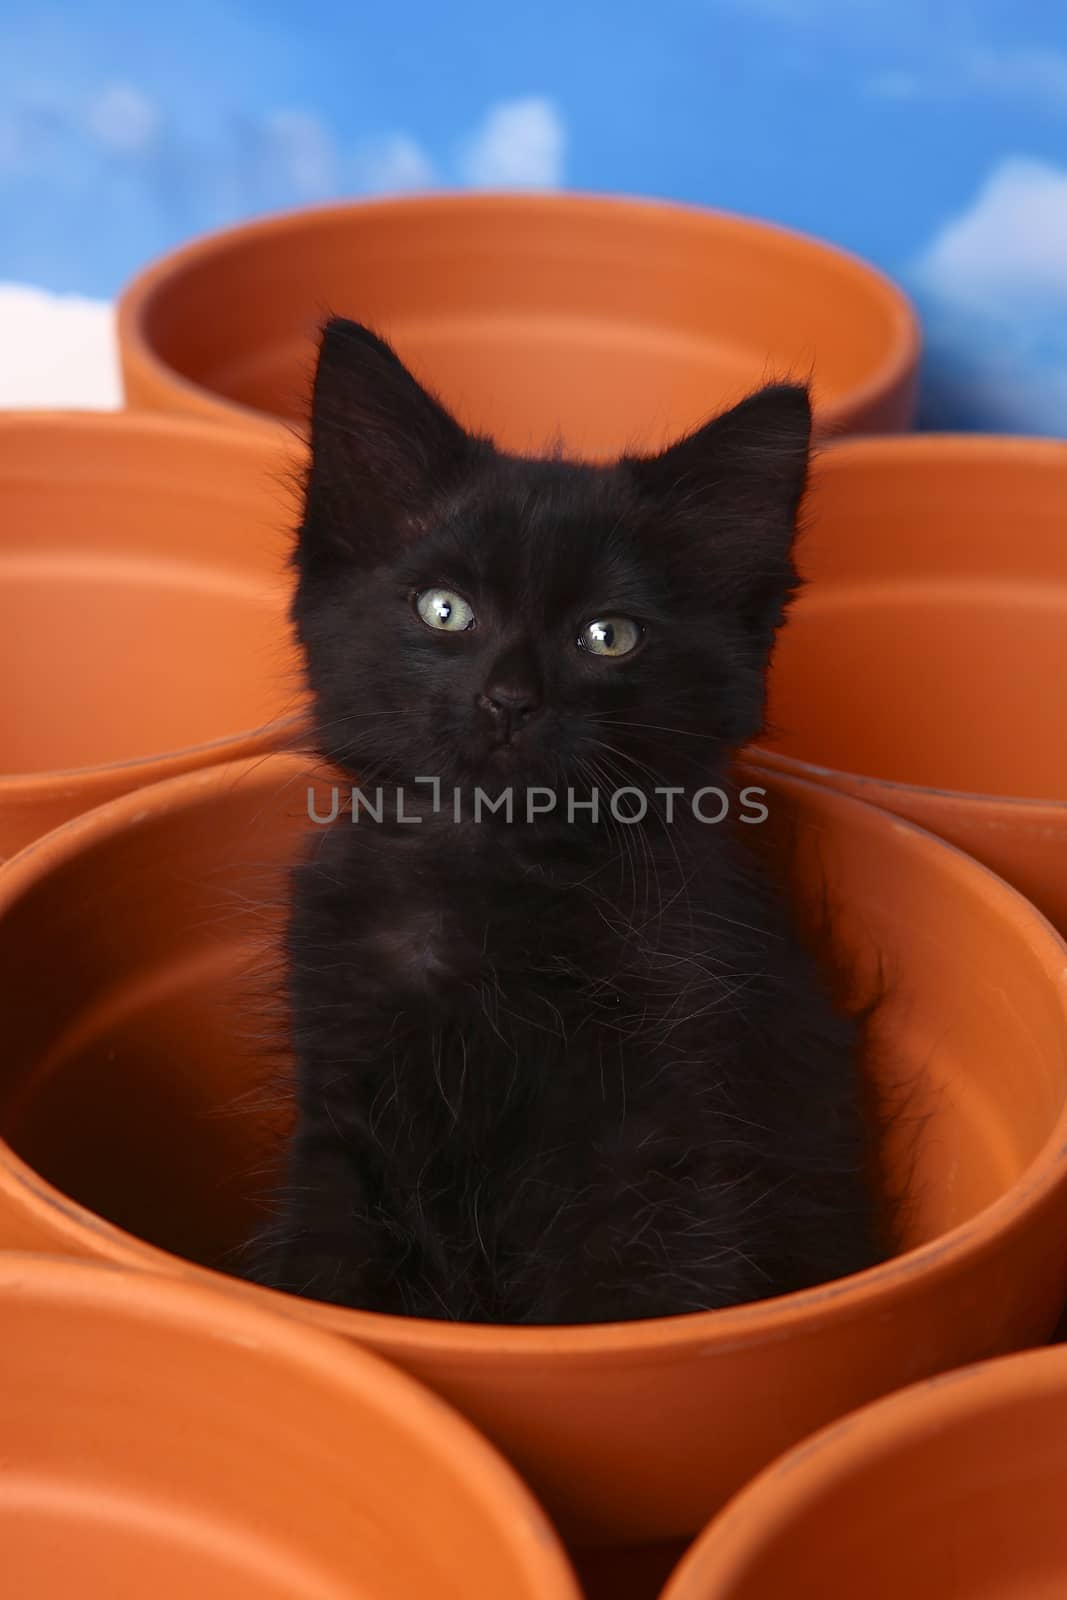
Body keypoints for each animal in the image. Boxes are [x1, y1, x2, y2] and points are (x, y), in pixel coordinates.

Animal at [246, 315, 883, 1324]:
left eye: (607, 636)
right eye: (445, 610)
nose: (509, 699)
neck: (495, 875)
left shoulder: (657, 1143)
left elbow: (624, 1286)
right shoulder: (341, 1115)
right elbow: (325, 1262)